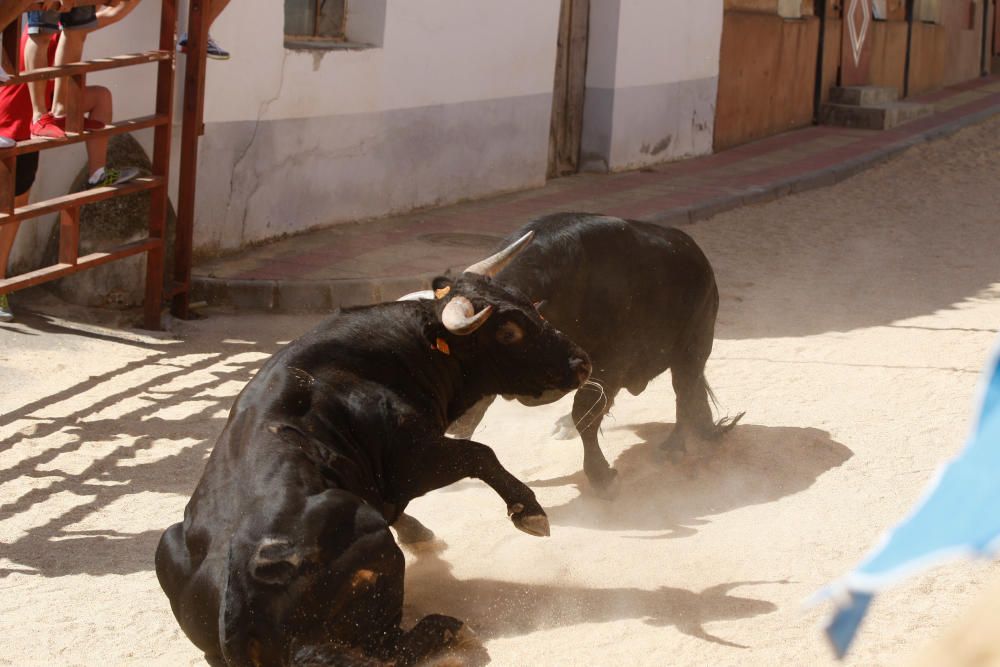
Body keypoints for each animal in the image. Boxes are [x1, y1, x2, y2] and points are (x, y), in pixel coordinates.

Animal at [153, 231, 588, 667]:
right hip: (374, 543)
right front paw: (530, 512)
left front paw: (419, 531)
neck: (403, 349)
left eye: (529, 304)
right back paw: (446, 628)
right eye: (508, 332)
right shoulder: (414, 459)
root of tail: (235, 602)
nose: (581, 363)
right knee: (387, 648)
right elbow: (482, 455)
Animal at [442, 214, 740, 496]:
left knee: (685, 391)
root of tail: (698, 258)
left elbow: (586, 411)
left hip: (693, 347)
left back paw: (675, 446)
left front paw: (601, 477)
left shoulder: (610, 363)